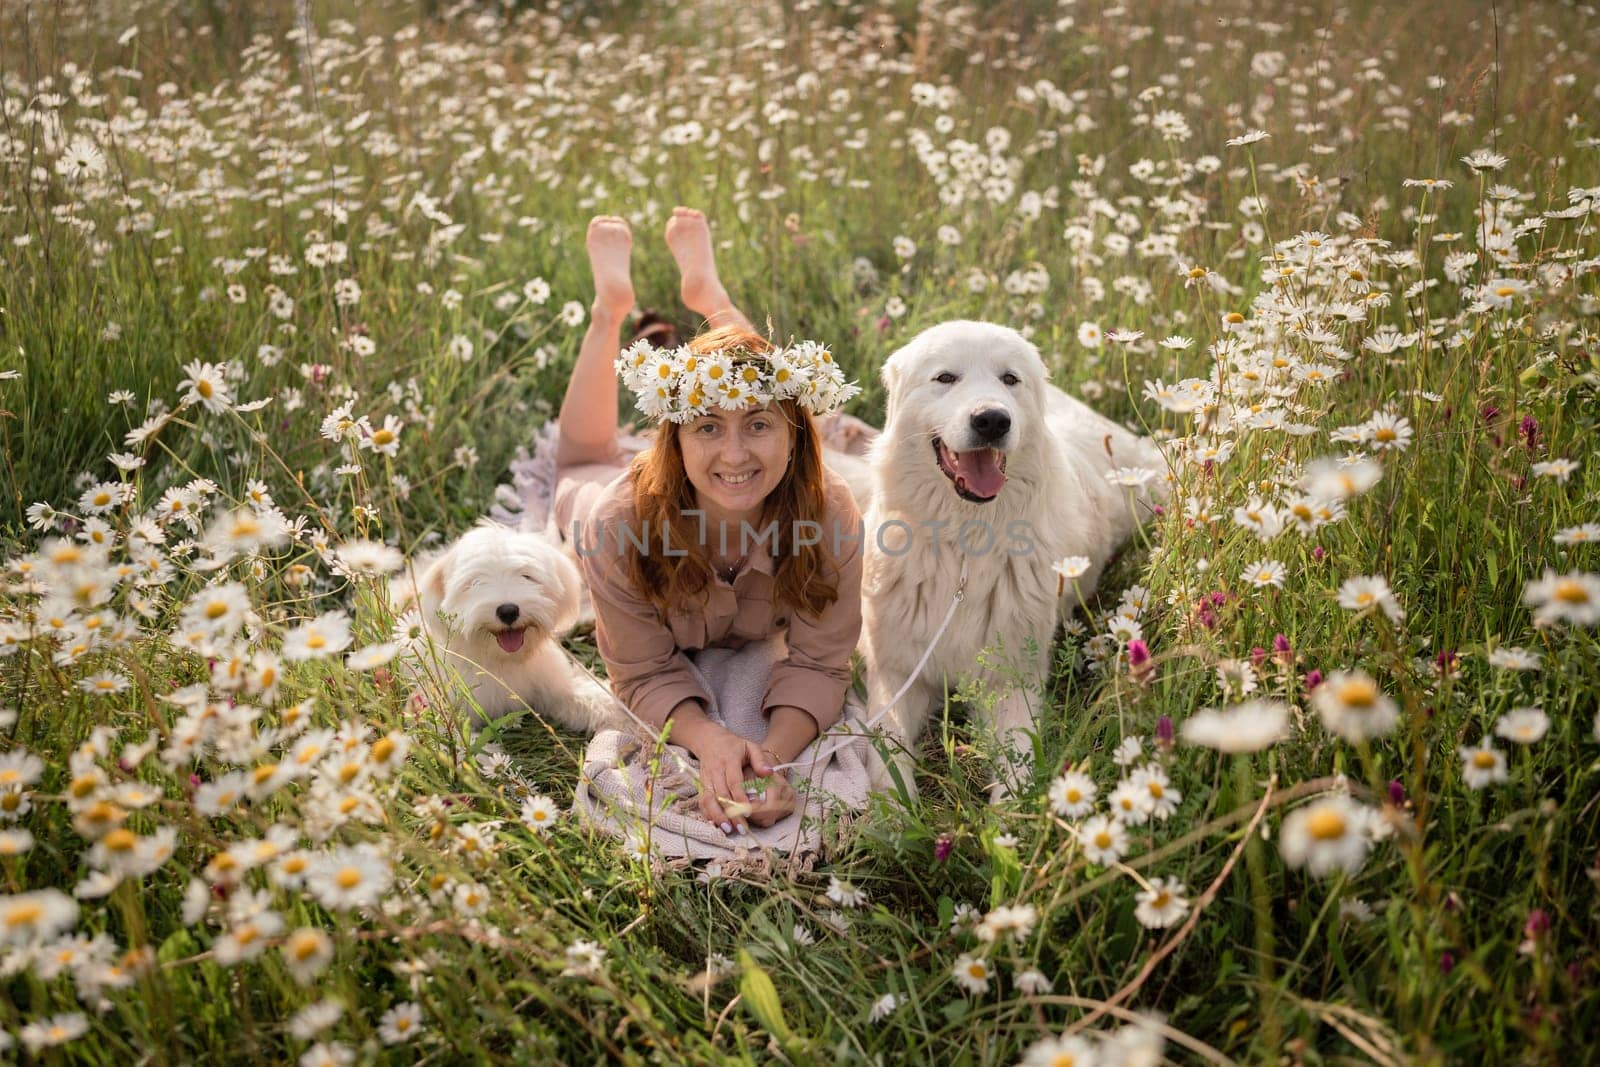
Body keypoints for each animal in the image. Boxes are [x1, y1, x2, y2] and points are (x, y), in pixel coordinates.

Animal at [398, 524, 617, 735]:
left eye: (526, 576)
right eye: (475, 582)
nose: (508, 611)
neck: (502, 660)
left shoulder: (553, 684)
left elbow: (584, 694)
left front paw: (617, 710)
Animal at [864, 321, 1164, 796]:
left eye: (1009, 379)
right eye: (945, 378)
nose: (992, 420)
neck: (964, 545)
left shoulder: (1011, 684)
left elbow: (1017, 774)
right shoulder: (895, 675)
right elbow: (887, 758)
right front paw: (896, 810)